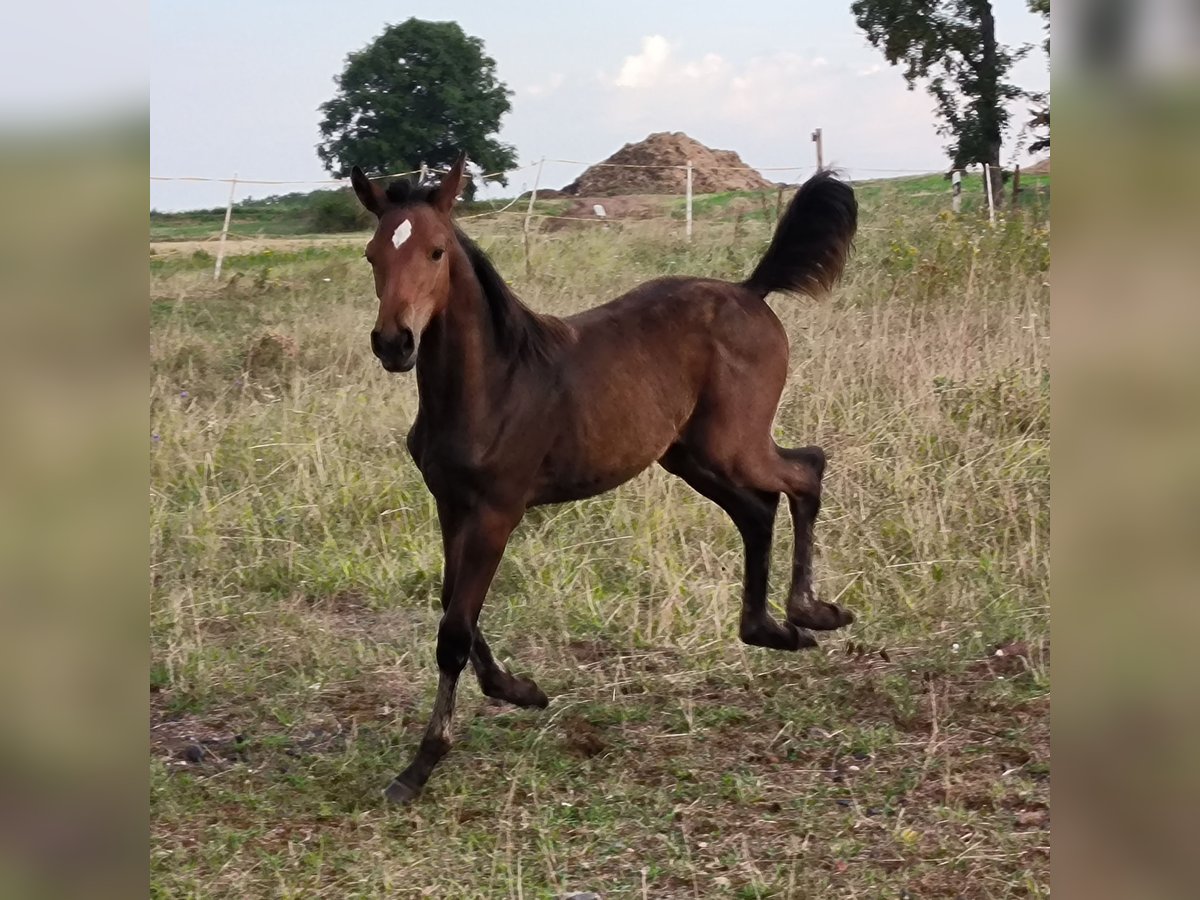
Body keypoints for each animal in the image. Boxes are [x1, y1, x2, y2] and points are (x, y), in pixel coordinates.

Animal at [350, 153, 864, 801]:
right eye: (371, 254)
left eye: (437, 251)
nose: (394, 343)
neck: (494, 382)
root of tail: (750, 290)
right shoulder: (450, 504)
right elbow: (452, 607)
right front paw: (518, 691)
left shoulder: (497, 511)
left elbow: (455, 630)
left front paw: (420, 765)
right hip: (689, 454)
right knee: (758, 508)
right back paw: (771, 629)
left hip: (735, 444)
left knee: (806, 471)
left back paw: (809, 614)